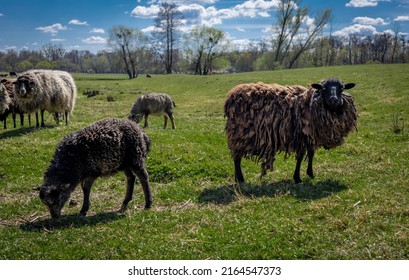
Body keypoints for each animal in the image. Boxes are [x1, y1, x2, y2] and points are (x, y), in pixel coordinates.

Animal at [223, 78, 356, 184]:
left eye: (341, 88)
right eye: (324, 88)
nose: (334, 100)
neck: (310, 103)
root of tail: (230, 96)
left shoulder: (311, 136)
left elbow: (311, 154)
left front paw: (310, 174)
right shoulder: (302, 136)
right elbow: (300, 157)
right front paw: (297, 178)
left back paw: (237, 178)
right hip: (239, 134)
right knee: (237, 158)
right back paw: (240, 179)